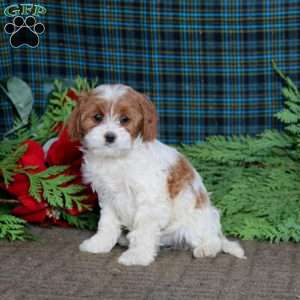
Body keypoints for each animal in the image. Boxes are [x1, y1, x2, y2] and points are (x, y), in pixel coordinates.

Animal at [67, 84, 244, 264]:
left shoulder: (149, 200)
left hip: (194, 223)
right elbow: (107, 223)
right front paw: (99, 243)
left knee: (213, 239)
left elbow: (143, 230)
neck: (117, 159)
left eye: (125, 119)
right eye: (97, 117)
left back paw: (207, 248)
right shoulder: (109, 197)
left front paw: (137, 255)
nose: (110, 136)